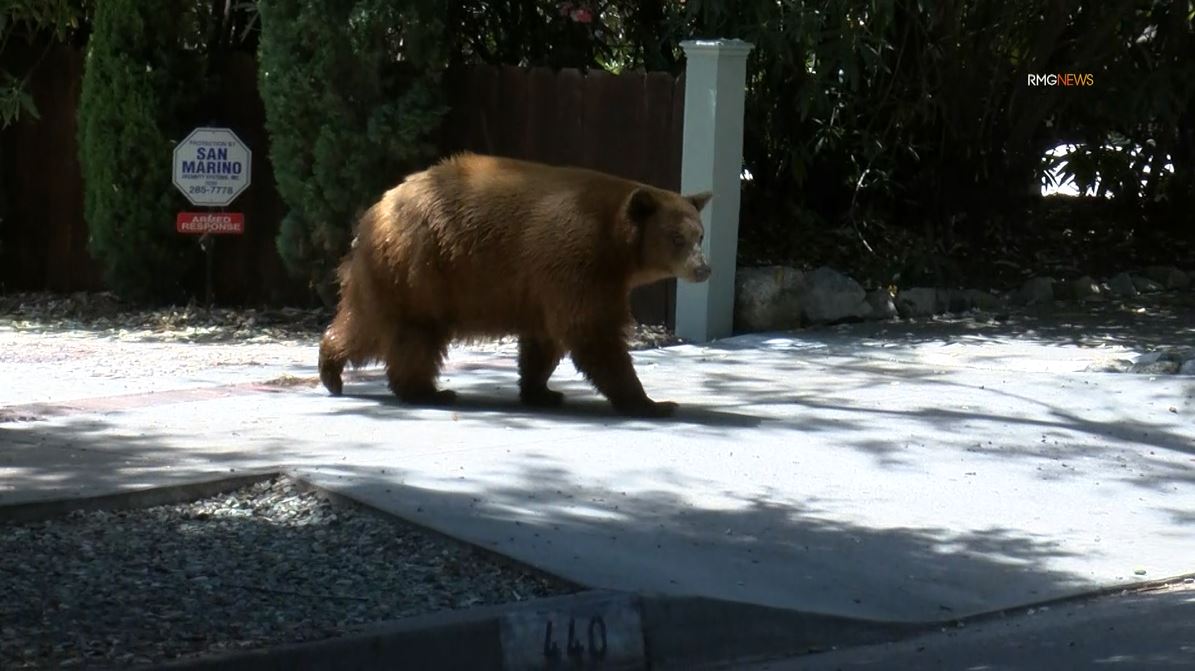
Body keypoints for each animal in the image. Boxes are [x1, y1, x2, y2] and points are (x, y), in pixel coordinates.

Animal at [317, 151, 707, 415]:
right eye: (676, 238)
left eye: (700, 234)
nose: (704, 268)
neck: (616, 242)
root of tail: (376, 209)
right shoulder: (578, 259)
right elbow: (592, 331)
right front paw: (652, 402)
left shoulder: (548, 281)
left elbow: (545, 339)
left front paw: (542, 391)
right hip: (418, 269)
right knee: (389, 329)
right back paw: (346, 372)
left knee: (404, 334)